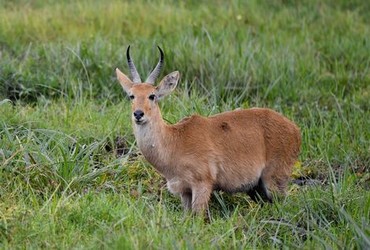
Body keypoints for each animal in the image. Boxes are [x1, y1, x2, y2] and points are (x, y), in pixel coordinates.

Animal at [115, 46, 300, 214]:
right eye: (131, 95)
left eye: (152, 95)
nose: (138, 114)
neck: (174, 141)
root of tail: (295, 129)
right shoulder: (184, 191)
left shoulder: (202, 185)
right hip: (257, 188)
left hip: (274, 181)